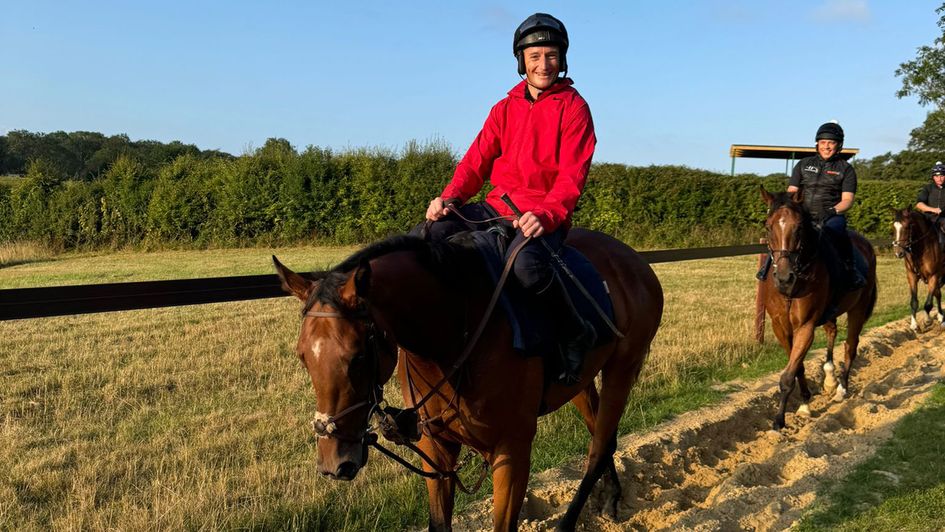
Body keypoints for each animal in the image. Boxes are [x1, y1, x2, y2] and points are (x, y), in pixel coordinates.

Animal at [272, 227, 664, 528]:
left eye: (357, 356)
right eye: (303, 356)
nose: (333, 463)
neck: (455, 330)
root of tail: (634, 260)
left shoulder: (512, 451)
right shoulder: (438, 449)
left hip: (622, 370)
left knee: (598, 447)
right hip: (580, 383)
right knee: (602, 434)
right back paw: (611, 497)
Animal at [760, 189, 876, 430]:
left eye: (799, 227)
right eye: (768, 226)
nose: (784, 278)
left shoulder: (806, 326)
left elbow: (788, 376)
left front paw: (779, 420)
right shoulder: (780, 327)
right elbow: (797, 367)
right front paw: (805, 403)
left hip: (858, 310)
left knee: (850, 346)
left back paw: (841, 389)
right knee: (832, 332)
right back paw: (830, 378)